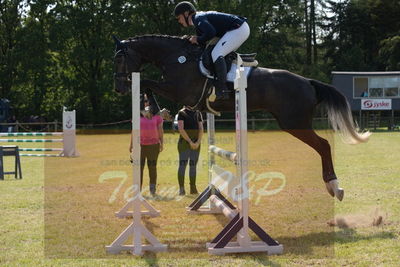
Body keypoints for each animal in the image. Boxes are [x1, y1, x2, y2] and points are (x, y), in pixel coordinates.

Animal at [111, 34, 368, 201]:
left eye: (120, 58)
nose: (119, 89)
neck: (176, 57)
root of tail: (308, 82)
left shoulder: (179, 91)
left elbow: (146, 82)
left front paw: (152, 106)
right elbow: (147, 83)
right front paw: (151, 107)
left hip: (295, 123)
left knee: (323, 145)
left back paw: (334, 186)